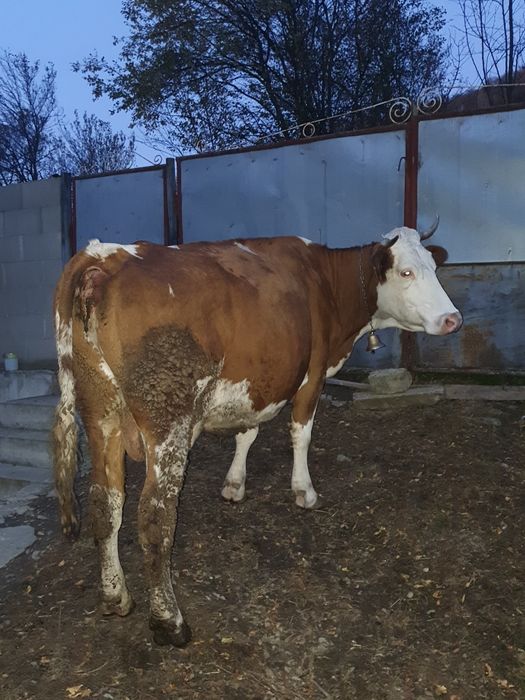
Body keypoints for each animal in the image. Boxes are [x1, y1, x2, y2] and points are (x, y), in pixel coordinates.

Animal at [52, 224, 461, 647]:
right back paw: (169, 621)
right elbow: (301, 433)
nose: (453, 319)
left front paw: (235, 484)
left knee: (105, 503)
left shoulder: (260, 377)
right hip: (167, 420)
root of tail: (103, 256)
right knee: (155, 516)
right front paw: (303, 490)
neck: (326, 281)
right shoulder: (312, 373)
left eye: (433, 267)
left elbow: (246, 433)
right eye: (407, 272)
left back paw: (115, 596)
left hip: (101, 415)